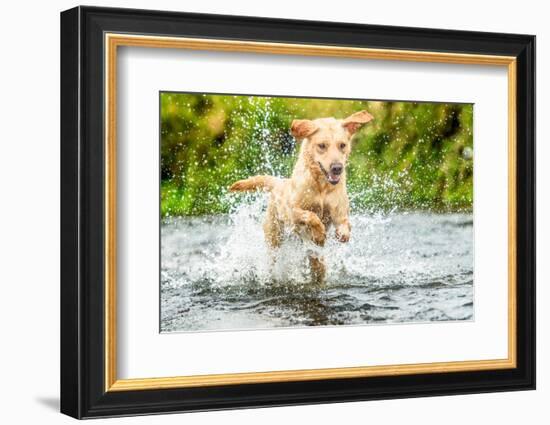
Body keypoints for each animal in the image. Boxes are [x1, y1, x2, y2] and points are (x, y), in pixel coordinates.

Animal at [229, 110, 376, 282]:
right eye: (322, 146)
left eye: (342, 145)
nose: (337, 168)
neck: (321, 187)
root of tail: (279, 183)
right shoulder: (293, 212)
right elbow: (311, 216)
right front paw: (319, 234)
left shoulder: (339, 213)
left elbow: (344, 224)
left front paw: (342, 234)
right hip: (274, 238)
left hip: (311, 255)